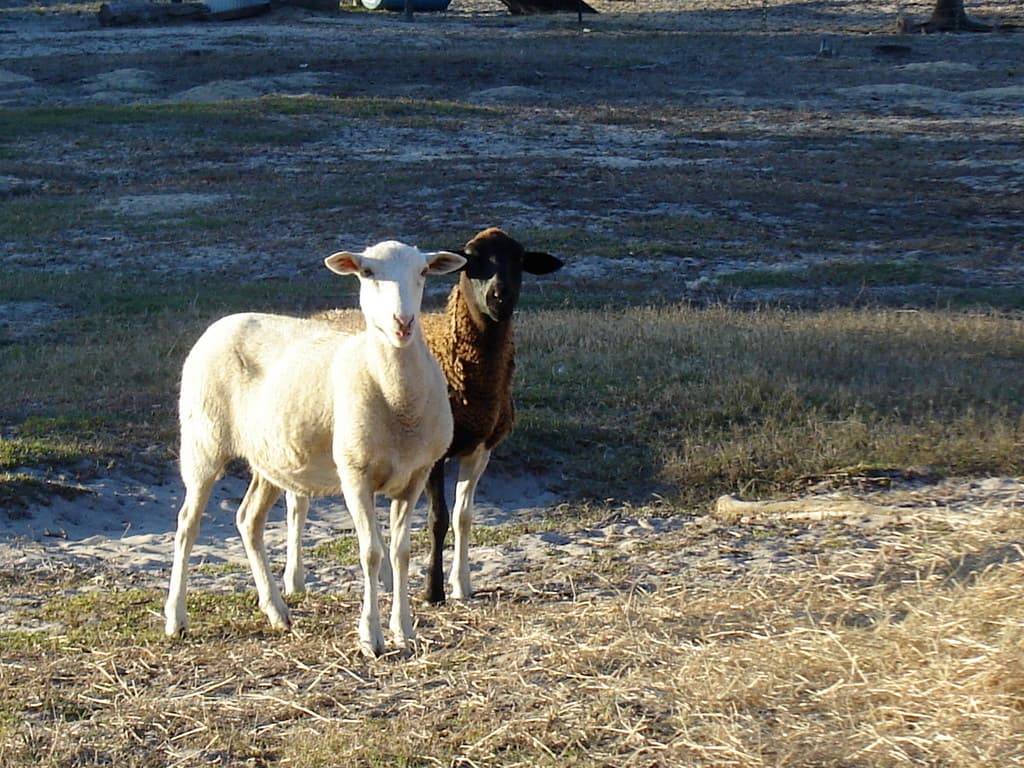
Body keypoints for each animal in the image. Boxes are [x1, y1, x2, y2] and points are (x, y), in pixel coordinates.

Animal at [163, 240, 466, 657]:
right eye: (367, 273)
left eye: (423, 272)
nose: (403, 323)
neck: (397, 397)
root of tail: (222, 323)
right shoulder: (355, 475)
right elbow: (371, 553)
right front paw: (370, 637)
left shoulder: (415, 475)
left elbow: (400, 553)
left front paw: (404, 631)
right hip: (202, 441)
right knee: (186, 525)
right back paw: (176, 619)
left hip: (269, 457)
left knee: (248, 519)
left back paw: (276, 611)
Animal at [283, 227, 563, 605]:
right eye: (473, 260)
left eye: (519, 260)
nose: (499, 298)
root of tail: (319, 315)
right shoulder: (435, 456)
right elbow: (437, 519)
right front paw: (433, 590)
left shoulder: (481, 448)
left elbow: (463, 517)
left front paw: (462, 584)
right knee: (297, 505)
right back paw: (294, 580)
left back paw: (386, 579)